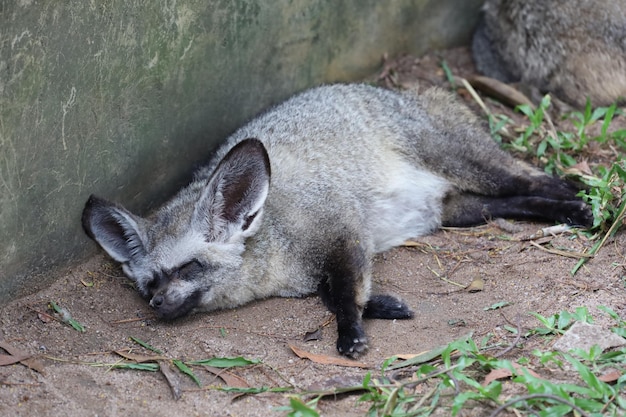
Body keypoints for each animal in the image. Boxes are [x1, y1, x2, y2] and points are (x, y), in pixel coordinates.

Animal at [83, 83, 588, 354]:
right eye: (149, 283)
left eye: (189, 267)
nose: (157, 304)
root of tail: (408, 94)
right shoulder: (330, 257)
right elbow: (333, 293)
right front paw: (381, 306)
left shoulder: (345, 230)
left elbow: (343, 293)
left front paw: (352, 331)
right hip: (457, 211)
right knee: (513, 202)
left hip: (471, 168)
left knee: (533, 179)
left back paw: (578, 202)